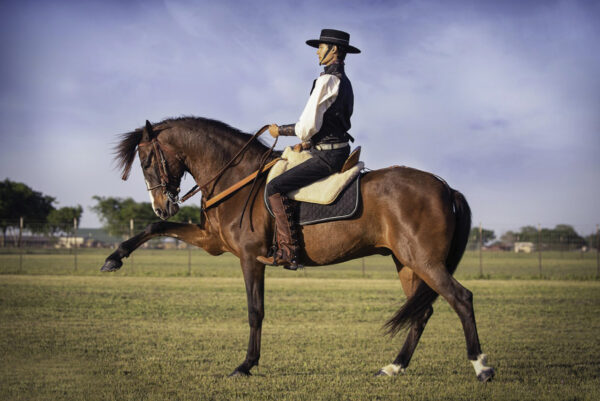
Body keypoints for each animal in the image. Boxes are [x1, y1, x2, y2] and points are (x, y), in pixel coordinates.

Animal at [103, 116, 494, 382]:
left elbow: (255, 311)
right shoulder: (212, 241)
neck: (236, 178)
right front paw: (114, 258)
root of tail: (445, 187)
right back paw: (393, 367)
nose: (161, 205)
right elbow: (156, 229)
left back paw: (481, 366)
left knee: (461, 298)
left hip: (424, 260)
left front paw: (245, 365)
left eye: (147, 160)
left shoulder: (250, 258)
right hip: (407, 263)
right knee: (422, 312)